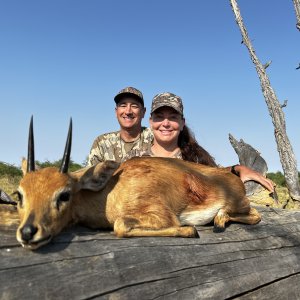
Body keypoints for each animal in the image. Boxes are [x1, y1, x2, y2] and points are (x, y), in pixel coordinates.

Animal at [11, 118, 260, 250]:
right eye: (19, 194)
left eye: (64, 194)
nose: (28, 232)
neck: (110, 191)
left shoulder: (161, 215)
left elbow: (120, 226)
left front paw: (190, 229)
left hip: (239, 204)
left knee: (255, 215)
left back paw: (218, 221)